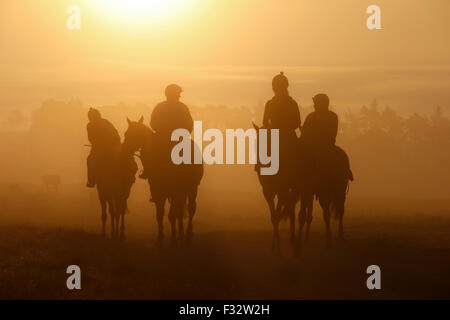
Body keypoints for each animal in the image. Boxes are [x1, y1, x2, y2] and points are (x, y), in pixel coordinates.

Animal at [121, 116, 202, 246]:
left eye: (135, 134)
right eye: (126, 133)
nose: (123, 150)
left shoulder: (174, 191)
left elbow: (172, 214)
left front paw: (173, 237)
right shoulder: (158, 192)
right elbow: (160, 214)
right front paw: (161, 236)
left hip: (192, 188)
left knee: (191, 208)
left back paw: (188, 233)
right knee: (180, 211)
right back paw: (181, 232)